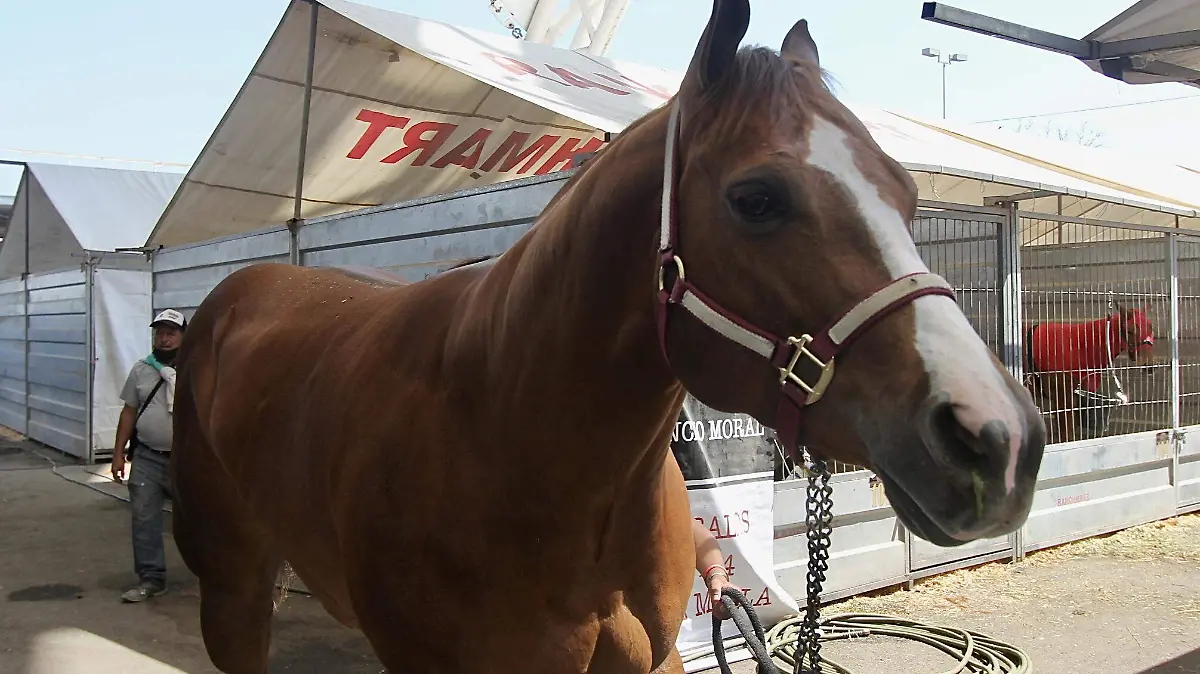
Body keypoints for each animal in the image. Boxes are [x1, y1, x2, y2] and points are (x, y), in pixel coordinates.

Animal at [1023, 303, 1155, 443]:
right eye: (1129, 330)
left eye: (1151, 328)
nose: (1150, 365)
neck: (1078, 347)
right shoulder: (1062, 400)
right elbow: (1067, 435)